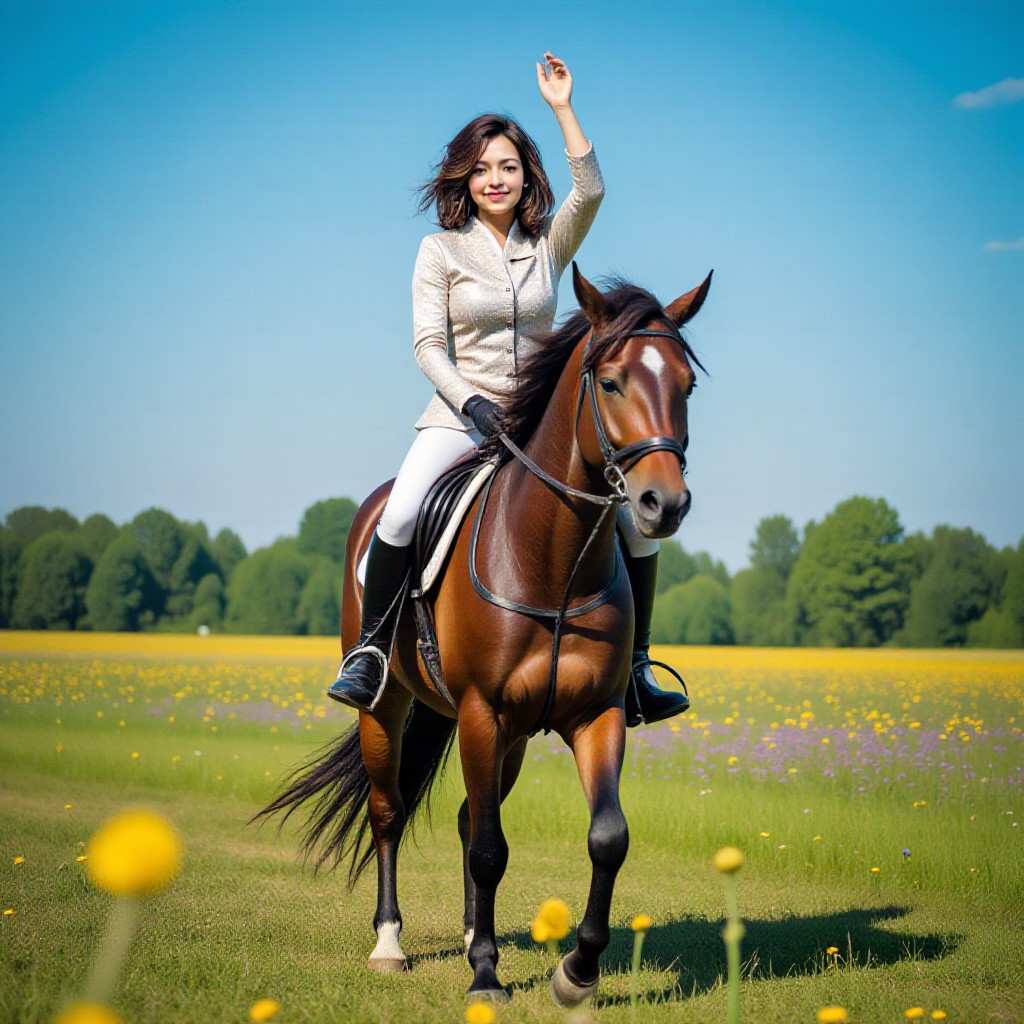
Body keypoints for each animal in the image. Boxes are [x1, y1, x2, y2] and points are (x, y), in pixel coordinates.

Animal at [256, 264, 711, 1004]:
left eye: (686, 385)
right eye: (611, 382)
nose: (662, 504)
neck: (555, 561)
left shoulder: (595, 714)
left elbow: (606, 837)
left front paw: (576, 972)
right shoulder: (480, 711)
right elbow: (491, 848)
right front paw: (487, 976)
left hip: (515, 737)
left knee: (474, 815)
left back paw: (476, 932)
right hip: (388, 708)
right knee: (390, 812)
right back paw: (392, 943)